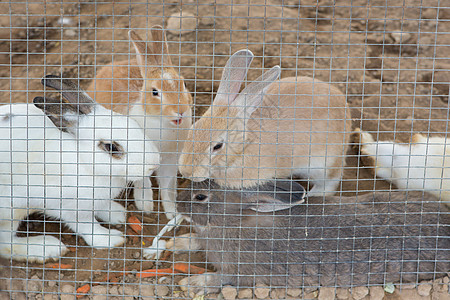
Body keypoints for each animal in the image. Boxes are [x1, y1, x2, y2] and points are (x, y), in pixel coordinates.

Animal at [0, 75, 160, 262]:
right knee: (6, 244)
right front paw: (111, 239)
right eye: (111, 147)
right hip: (10, 211)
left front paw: (118, 214)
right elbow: (88, 226)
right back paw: (48, 248)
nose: (155, 163)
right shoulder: (71, 209)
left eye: (133, 123)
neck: (85, 162)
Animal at [89, 25, 192, 218]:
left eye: (182, 83)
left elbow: (166, 187)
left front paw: (172, 212)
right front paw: (145, 204)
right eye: (155, 92)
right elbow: (143, 180)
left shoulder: (170, 160)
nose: (180, 110)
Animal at [175, 180, 450, 296]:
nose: (177, 202)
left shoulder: (241, 273)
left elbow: (219, 279)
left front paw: (191, 284)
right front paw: (176, 243)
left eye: (200, 197)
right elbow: (195, 239)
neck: (236, 219)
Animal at [178, 49, 352, 197]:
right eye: (192, 129)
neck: (243, 149)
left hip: (324, 163)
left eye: (217, 146)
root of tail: (345, 109)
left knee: (330, 182)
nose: (186, 171)